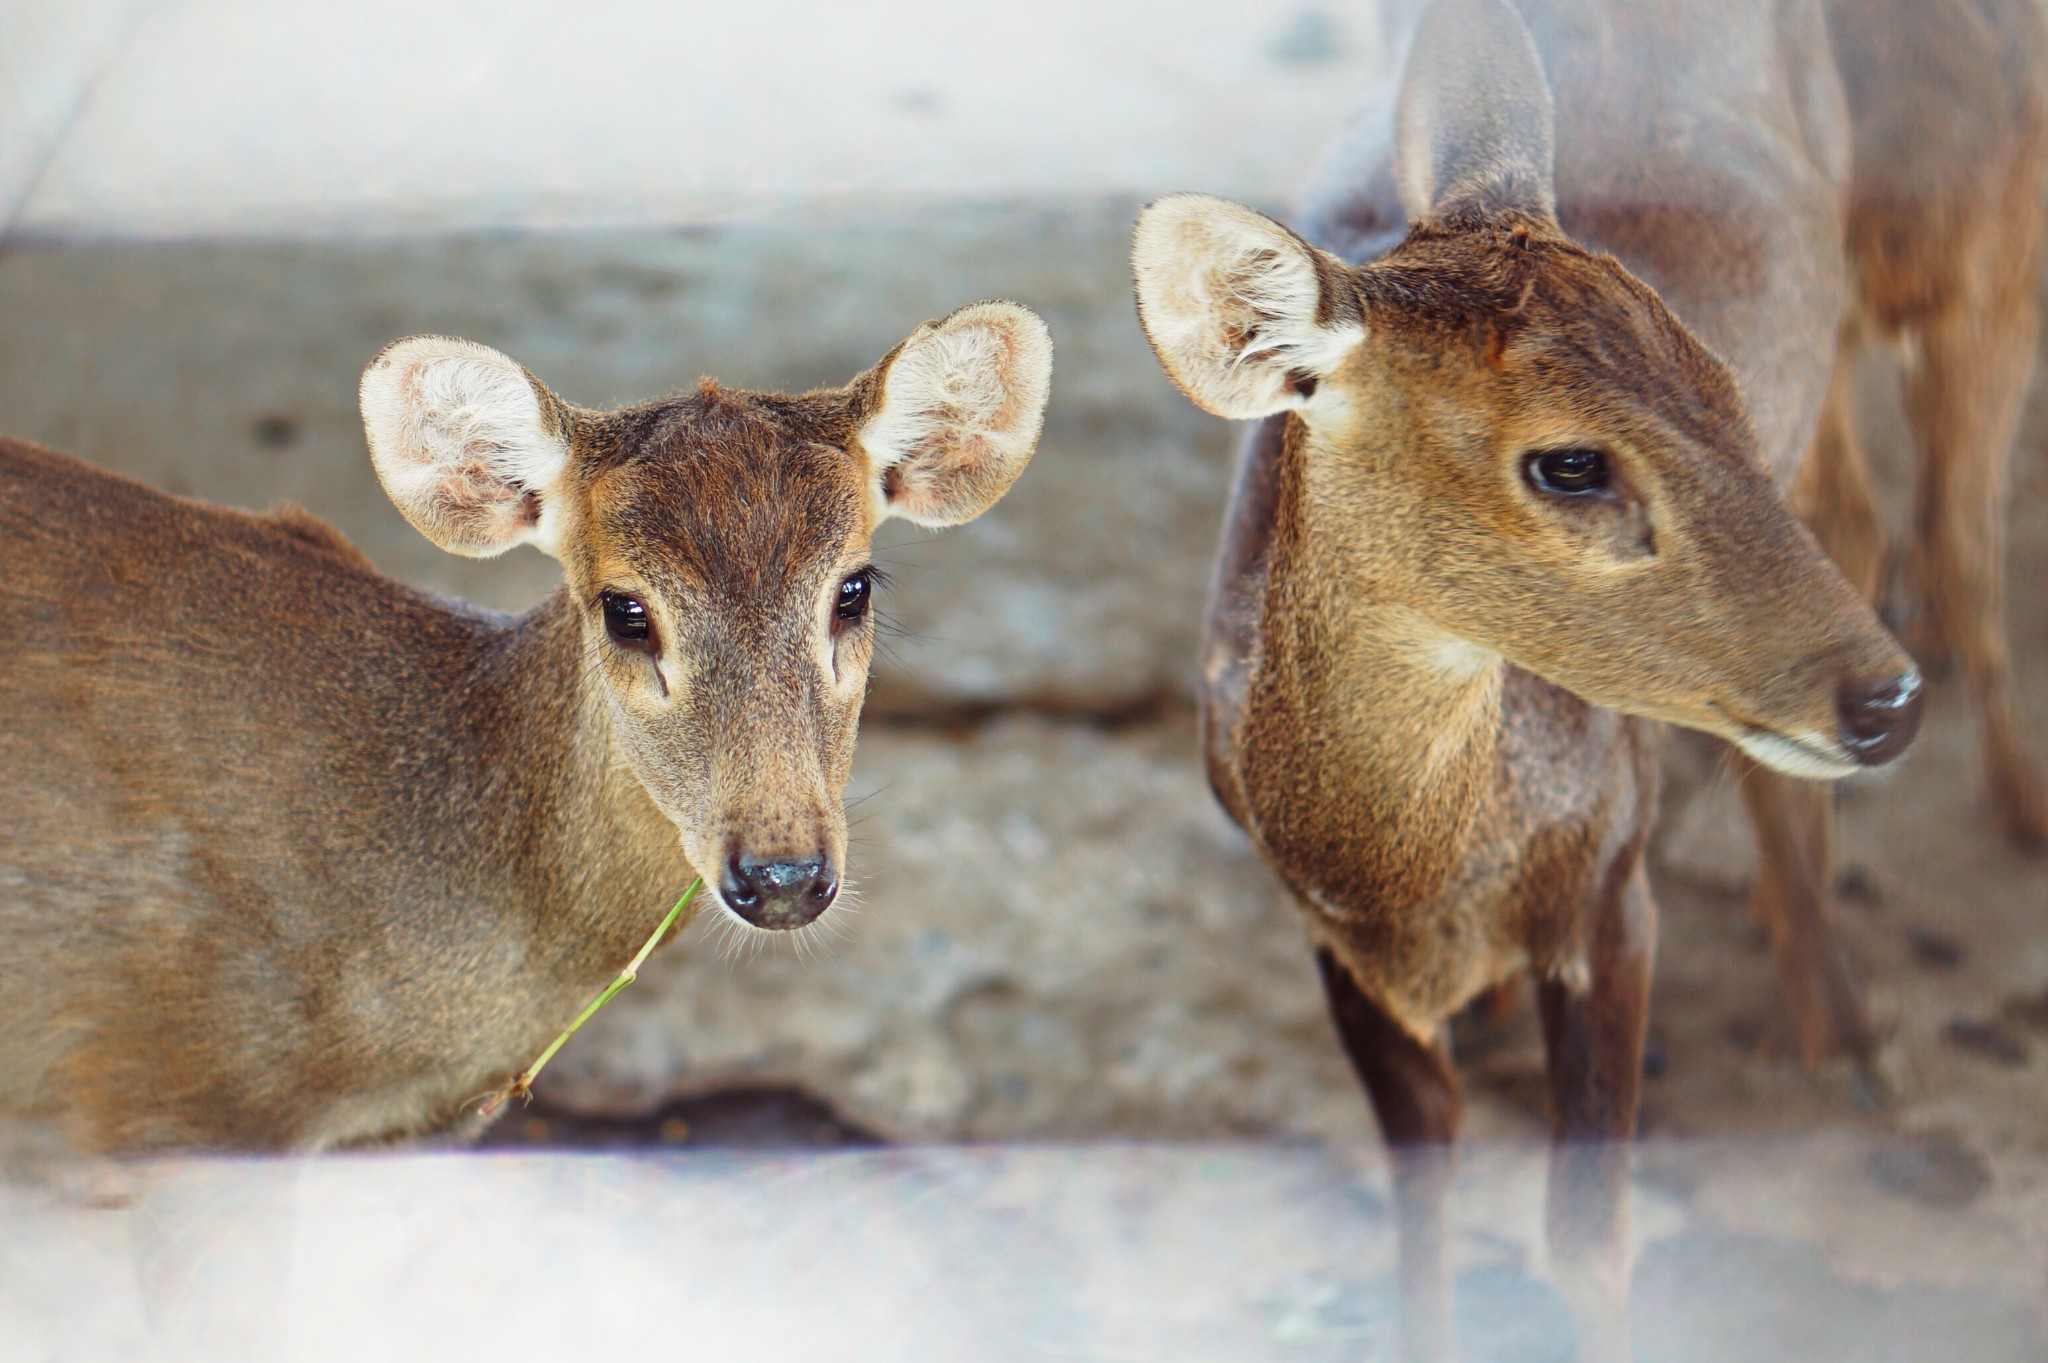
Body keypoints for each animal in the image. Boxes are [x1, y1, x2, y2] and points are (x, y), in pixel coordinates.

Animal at [1130, 0, 1925, 1350]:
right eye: (1568, 463)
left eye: (1719, 383)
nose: (1888, 701)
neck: (1421, 873)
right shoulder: (1333, 945)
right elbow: (1419, 1212)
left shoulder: (1611, 889)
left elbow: (1588, 1243)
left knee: (1863, 522)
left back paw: (1850, 1039)